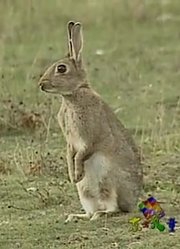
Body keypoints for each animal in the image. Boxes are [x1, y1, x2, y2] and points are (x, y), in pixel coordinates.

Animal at [38, 20, 143, 222]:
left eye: (61, 68)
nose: (41, 84)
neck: (74, 94)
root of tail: (132, 203)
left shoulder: (90, 134)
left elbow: (83, 151)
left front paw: (77, 171)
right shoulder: (70, 141)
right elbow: (70, 153)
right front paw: (72, 175)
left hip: (108, 180)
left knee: (113, 207)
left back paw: (101, 214)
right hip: (84, 192)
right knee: (90, 209)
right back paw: (77, 216)